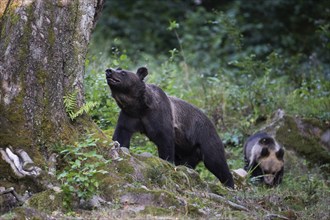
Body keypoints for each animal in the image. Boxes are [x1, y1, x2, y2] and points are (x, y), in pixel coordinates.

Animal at [105, 66, 235, 187]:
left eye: (123, 73)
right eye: (117, 68)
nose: (109, 71)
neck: (139, 107)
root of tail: (213, 124)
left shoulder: (160, 116)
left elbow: (165, 140)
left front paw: (166, 162)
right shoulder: (129, 116)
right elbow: (122, 135)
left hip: (205, 138)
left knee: (215, 160)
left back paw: (229, 184)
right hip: (190, 150)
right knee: (188, 163)